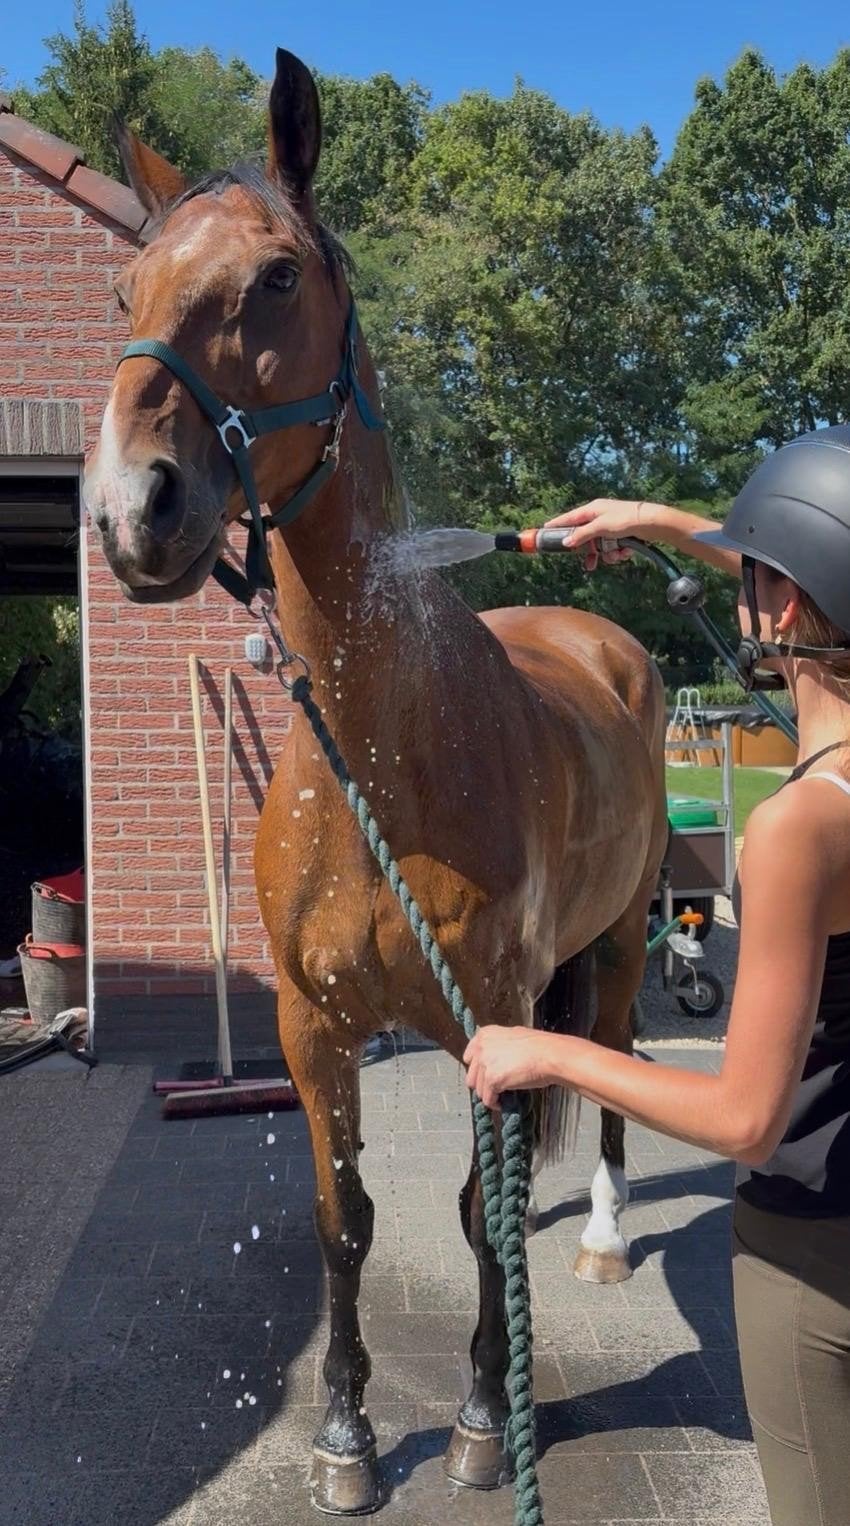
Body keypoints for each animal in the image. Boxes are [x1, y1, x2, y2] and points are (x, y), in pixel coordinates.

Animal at [85, 48, 668, 1516]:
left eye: (279, 276)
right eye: (126, 292)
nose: (130, 513)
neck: (381, 751)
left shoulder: (488, 1022)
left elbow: (475, 1215)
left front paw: (477, 1415)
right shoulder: (311, 1029)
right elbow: (342, 1218)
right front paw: (345, 1435)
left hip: (620, 944)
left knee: (615, 1074)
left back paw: (603, 1235)